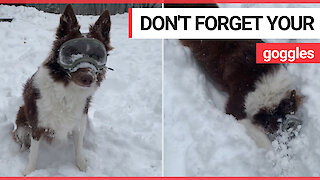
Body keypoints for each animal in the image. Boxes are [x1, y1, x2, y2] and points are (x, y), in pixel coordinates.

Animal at [12, 4, 112, 175]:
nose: (88, 78)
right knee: (23, 141)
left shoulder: (79, 122)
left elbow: (79, 149)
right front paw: (29, 172)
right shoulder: (37, 125)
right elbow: (34, 154)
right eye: (71, 52)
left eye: (97, 55)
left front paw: (82, 167)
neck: (68, 92)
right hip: (21, 121)